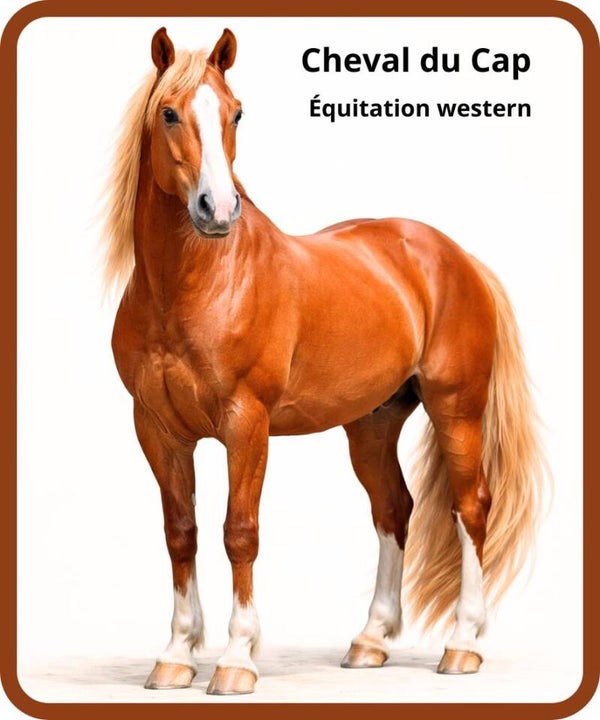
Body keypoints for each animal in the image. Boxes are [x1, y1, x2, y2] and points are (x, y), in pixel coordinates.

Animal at [103, 27, 547, 695]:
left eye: (236, 113)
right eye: (169, 113)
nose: (217, 210)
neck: (193, 288)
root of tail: (456, 257)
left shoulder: (246, 425)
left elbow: (240, 533)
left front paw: (236, 660)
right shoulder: (157, 430)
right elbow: (181, 533)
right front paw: (177, 654)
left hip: (457, 410)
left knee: (470, 506)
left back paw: (463, 644)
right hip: (372, 423)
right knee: (394, 509)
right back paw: (370, 641)